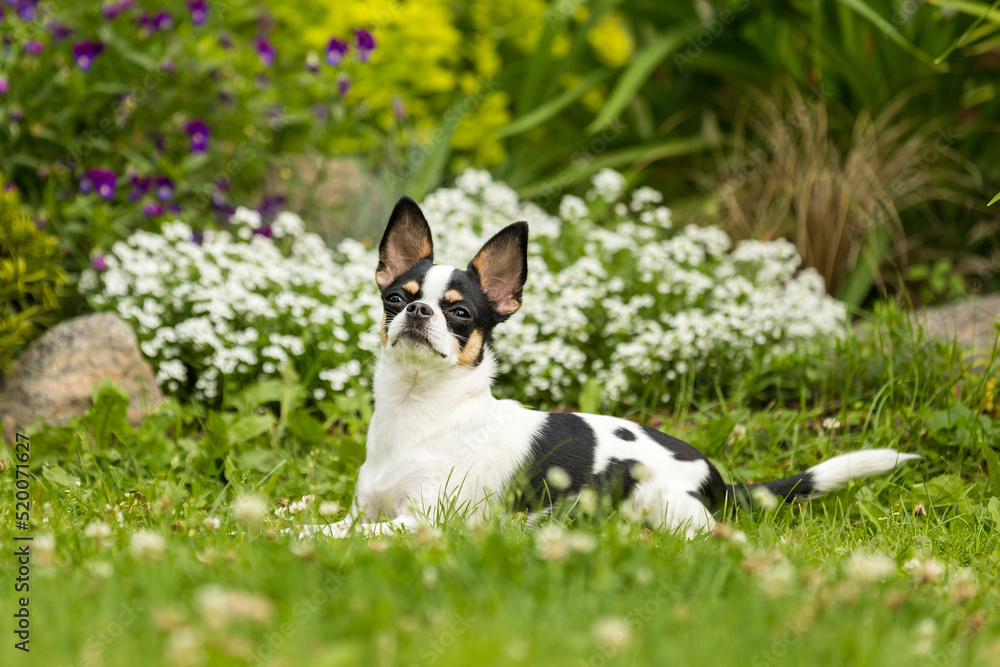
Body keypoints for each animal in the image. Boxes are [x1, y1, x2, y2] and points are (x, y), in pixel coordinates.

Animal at [306, 197, 920, 536]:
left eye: (460, 312)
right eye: (395, 298)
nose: (418, 310)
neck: (419, 414)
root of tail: (719, 480)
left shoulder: (420, 522)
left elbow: (335, 535)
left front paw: (300, 534)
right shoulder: (368, 511)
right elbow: (329, 522)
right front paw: (292, 519)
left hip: (662, 507)